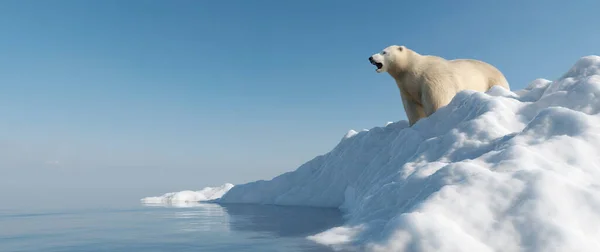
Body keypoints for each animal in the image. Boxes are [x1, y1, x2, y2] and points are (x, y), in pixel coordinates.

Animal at [368, 45, 508, 126]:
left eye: (384, 52)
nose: (370, 58)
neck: (412, 68)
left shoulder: (432, 79)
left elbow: (437, 100)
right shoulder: (407, 87)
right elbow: (413, 108)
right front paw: (415, 123)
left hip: (493, 81)